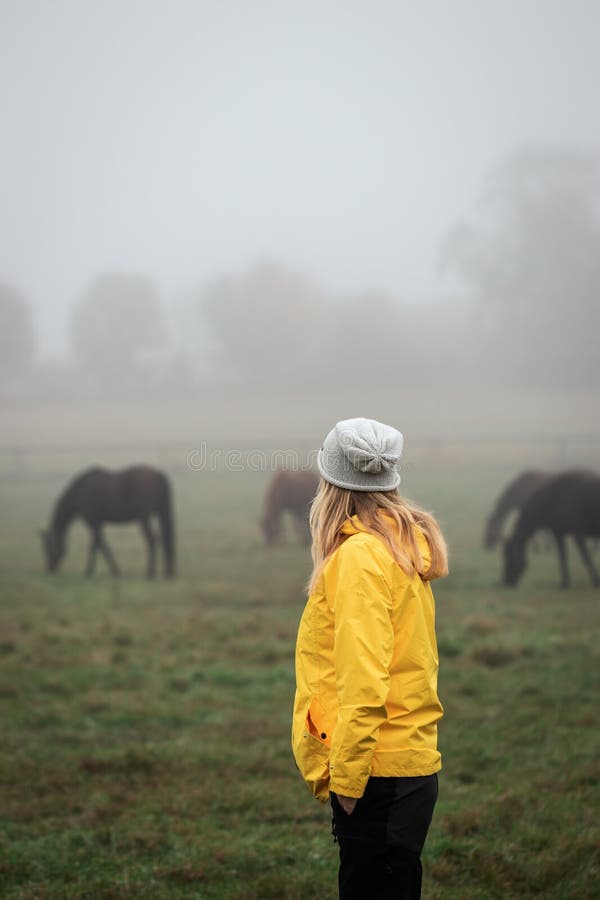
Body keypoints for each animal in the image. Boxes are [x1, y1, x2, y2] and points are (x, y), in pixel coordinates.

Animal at [40, 468, 173, 580]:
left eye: (48, 548)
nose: (50, 568)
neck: (80, 492)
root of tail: (157, 475)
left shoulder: (93, 523)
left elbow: (97, 545)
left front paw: (89, 572)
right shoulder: (98, 524)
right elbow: (101, 545)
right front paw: (113, 571)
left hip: (144, 518)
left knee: (153, 541)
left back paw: (150, 574)